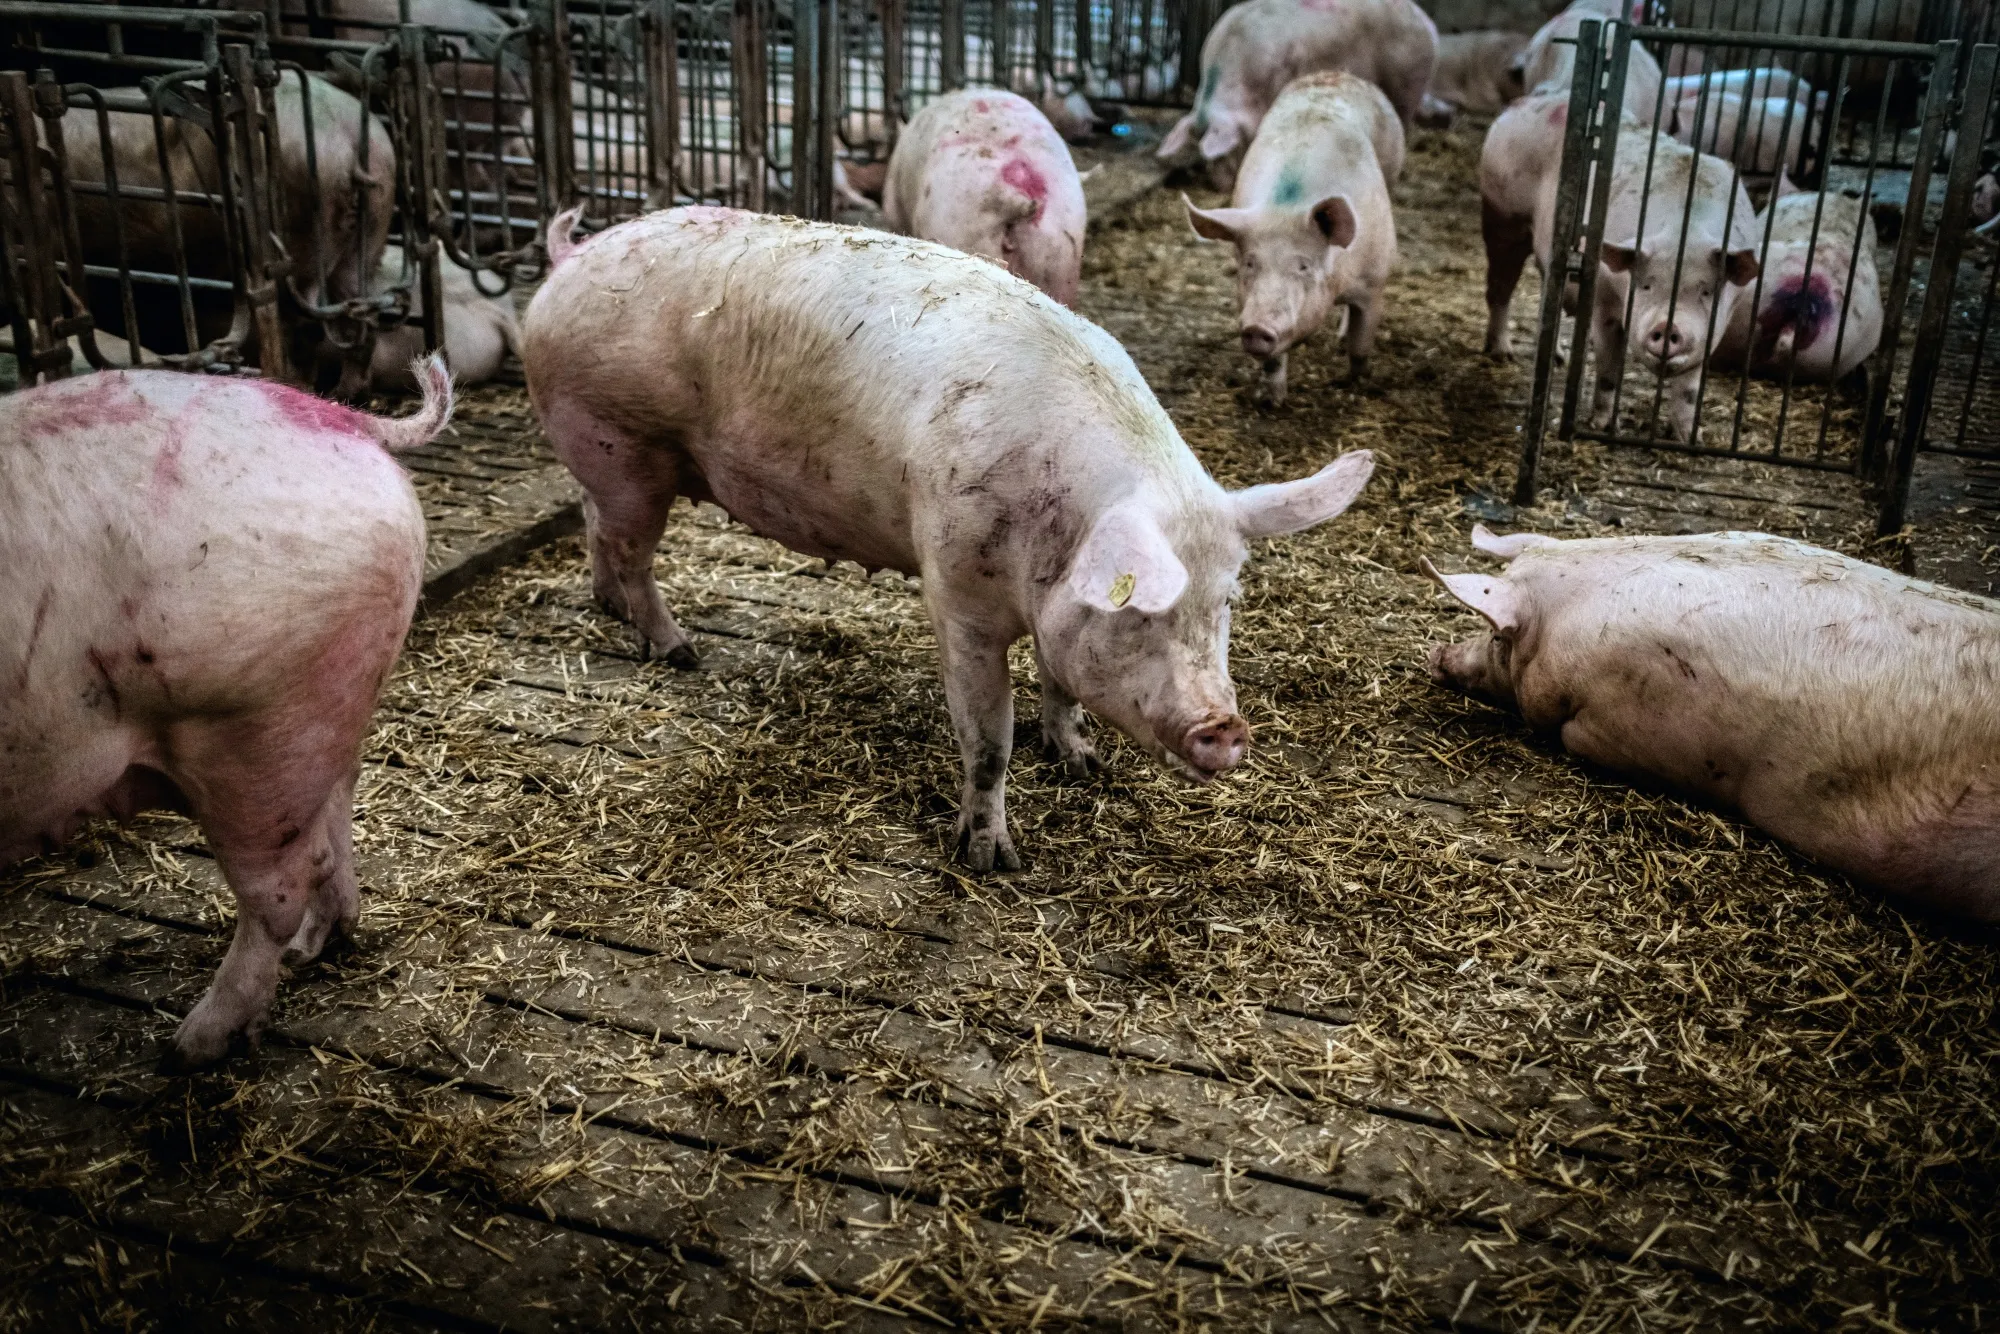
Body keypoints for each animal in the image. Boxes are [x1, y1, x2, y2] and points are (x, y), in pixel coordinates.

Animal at [0, 359, 453, 1066]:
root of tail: (337, 416)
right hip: (324, 707)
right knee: (335, 815)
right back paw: (311, 951)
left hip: (256, 733)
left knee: (280, 887)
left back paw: (191, 1047)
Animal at [522, 207, 1376, 872]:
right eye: (1140, 611)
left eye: (1224, 603)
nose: (1225, 728)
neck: (1056, 536)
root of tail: (570, 259)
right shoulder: (957, 596)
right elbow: (989, 740)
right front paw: (992, 860)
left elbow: (1061, 685)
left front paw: (1082, 763)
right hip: (622, 441)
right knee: (633, 552)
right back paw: (678, 651)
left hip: (612, 462)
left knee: (598, 526)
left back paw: (612, 611)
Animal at [1184, 72, 1402, 403]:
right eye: (1249, 264)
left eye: (1303, 266)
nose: (1257, 327)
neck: (1287, 209)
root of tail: (1339, 74)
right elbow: (1273, 361)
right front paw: (1269, 401)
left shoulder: (1375, 280)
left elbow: (1361, 344)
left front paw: (1356, 384)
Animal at [1588, 127, 1761, 441]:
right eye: (1646, 285)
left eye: (1706, 291)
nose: (1667, 326)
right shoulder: (1603, 296)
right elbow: (1607, 368)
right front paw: (1604, 427)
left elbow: (1689, 391)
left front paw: (1688, 439)